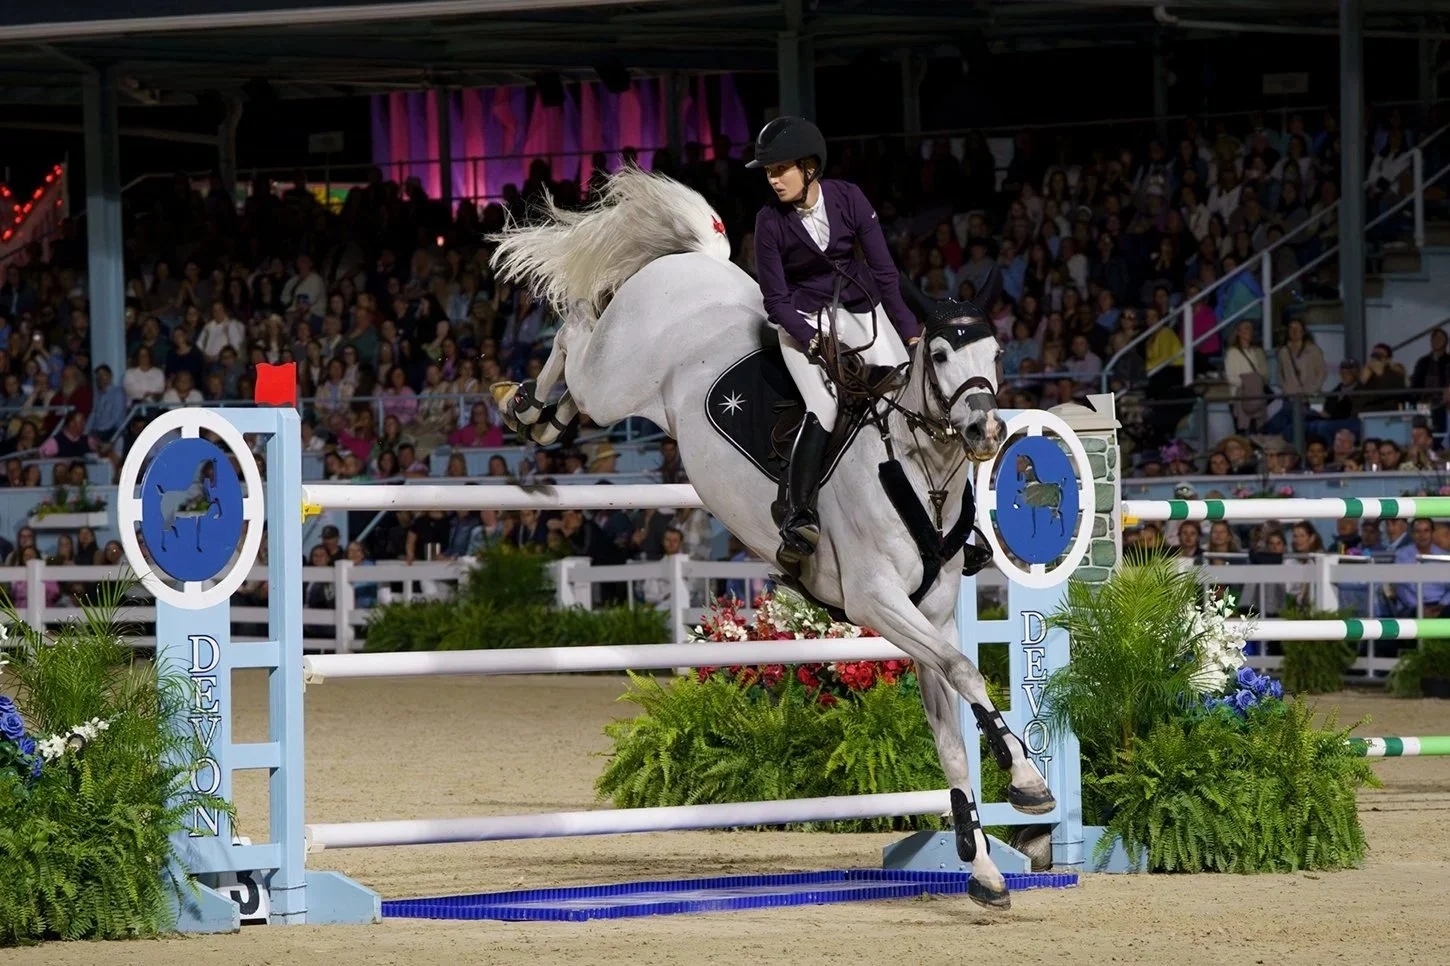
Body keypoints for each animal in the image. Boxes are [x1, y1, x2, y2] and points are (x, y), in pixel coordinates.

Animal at [488, 168, 1054, 909]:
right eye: (937, 352)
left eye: (998, 352)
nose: (986, 432)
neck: (920, 470)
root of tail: (694, 263)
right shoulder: (874, 601)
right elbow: (965, 672)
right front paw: (1027, 780)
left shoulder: (928, 615)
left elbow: (951, 731)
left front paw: (983, 866)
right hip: (612, 380)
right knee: (577, 330)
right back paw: (527, 407)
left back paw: (539, 416)